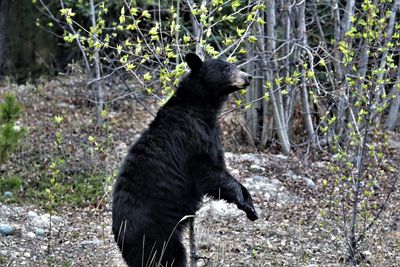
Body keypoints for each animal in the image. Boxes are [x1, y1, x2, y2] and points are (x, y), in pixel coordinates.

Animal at [111, 54, 258, 267]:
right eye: (226, 69)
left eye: (233, 65)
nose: (248, 77)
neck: (199, 105)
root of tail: (119, 232)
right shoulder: (193, 139)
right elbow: (209, 172)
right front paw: (245, 203)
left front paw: (251, 207)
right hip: (155, 232)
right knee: (169, 256)